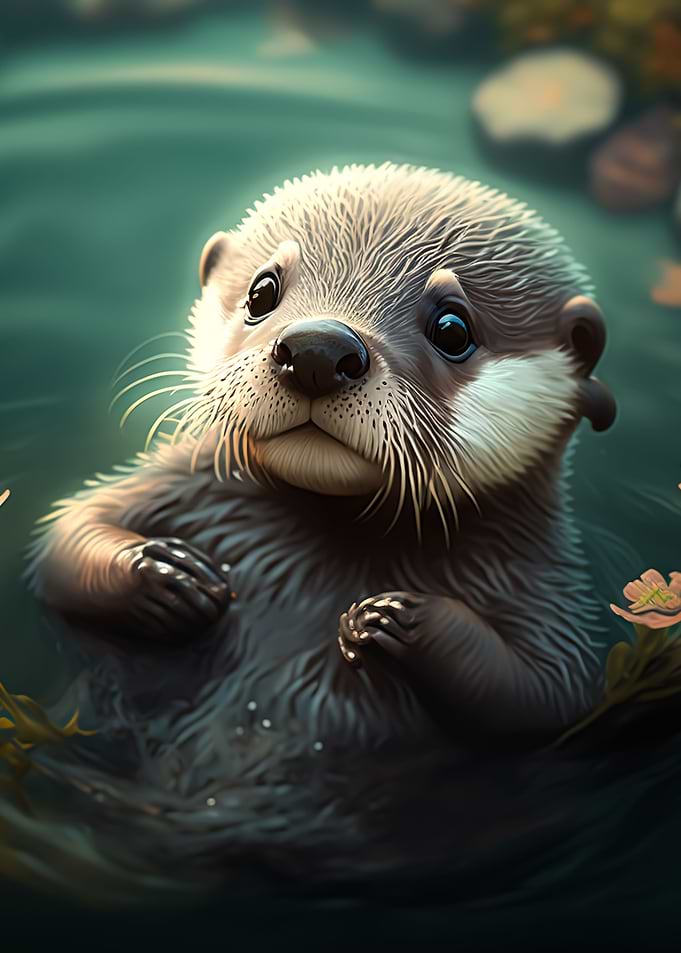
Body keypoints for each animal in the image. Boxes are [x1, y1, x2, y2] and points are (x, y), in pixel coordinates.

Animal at [28, 163, 616, 752]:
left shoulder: (543, 588)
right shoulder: (187, 484)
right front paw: (166, 572)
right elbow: (65, 537)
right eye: (262, 291)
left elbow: (545, 695)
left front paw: (394, 618)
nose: (318, 348)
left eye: (453, 329)